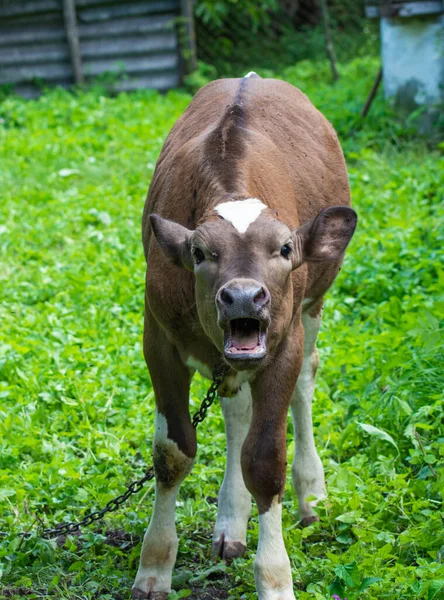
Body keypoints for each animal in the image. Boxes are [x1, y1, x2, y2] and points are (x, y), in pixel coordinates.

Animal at [132, 74, 358, 600]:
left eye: (285, 248)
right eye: (199, 252)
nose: (242, 297)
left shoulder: (284, 344)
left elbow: (265, 460)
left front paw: (275, 579)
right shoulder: (159, 341)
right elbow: (172, 452)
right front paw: (154, 565)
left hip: (313, 306)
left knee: (304, 384)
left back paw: (311, 494)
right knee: (236, 409)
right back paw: (230, 523)